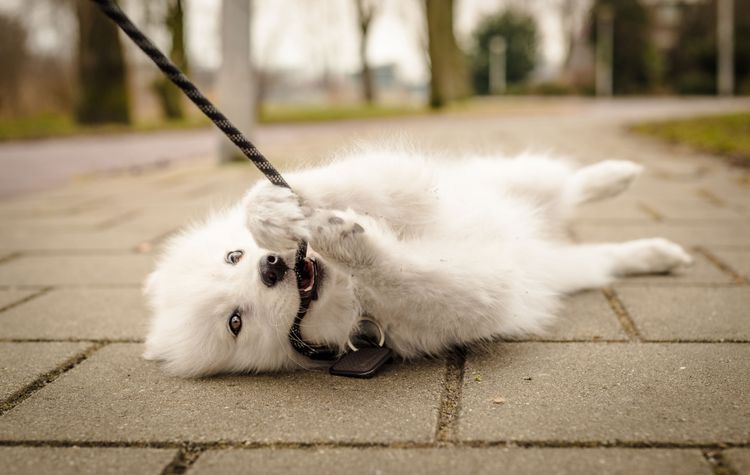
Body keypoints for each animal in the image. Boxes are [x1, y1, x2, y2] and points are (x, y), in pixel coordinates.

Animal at [144, 147, 696, 378]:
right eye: (235, 321)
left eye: (234, 255)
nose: (271, 268)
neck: (346, 292)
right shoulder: (474, 296)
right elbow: (409, 274)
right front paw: (346, 239)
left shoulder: (408, 187)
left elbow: (363, 186)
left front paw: (278, 210)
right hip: (570, 268)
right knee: (602, 252)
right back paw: (658, 253)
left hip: (515, 180)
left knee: (566, 186)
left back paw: (617, 175)